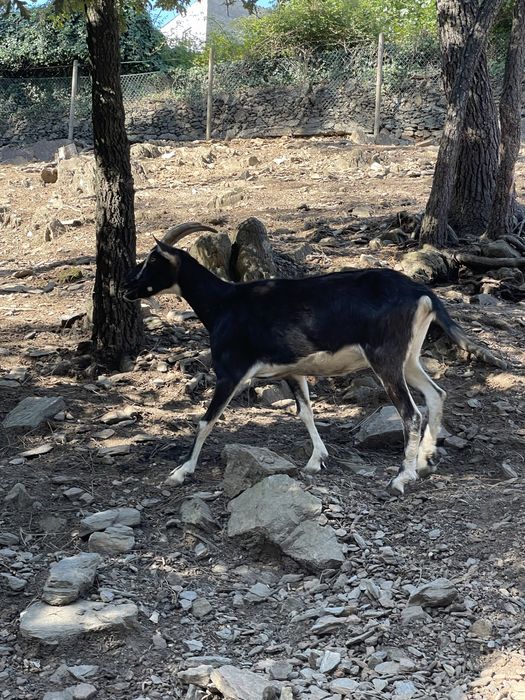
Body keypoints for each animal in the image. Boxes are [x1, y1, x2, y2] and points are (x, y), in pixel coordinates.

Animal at [123, 222, 505, 495]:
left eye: (152, 261)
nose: (127, 287)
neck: (224, 304)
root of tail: (423, 293)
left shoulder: (231, 371)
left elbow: (206, 420)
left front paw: (180, 472)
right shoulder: (293, 370)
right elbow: (305, 411)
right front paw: (315, 460)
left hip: (385, 359)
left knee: (411, 413)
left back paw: (401, 477)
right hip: (408, 358)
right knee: (436, 394)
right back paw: (425, 461)